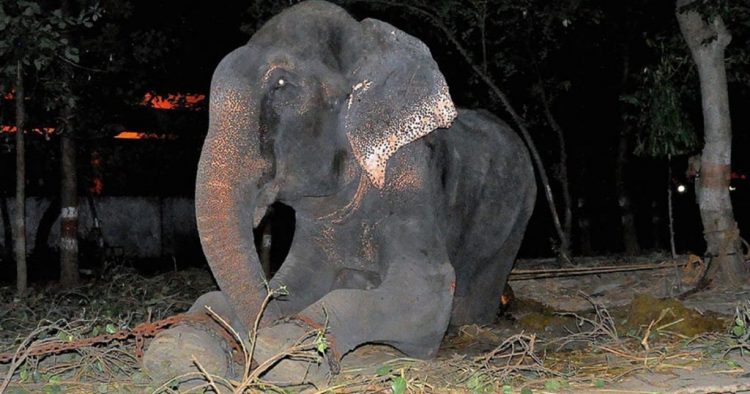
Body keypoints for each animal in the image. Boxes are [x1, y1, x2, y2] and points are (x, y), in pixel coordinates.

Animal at [144, 0, 536, 388]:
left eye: (282, 83)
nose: (253, 338)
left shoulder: (409, 174)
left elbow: (428, 289)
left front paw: (288, 348)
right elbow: (292, 281)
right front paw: (180, 347)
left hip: (516, 219)